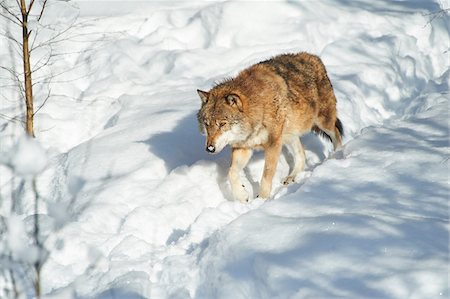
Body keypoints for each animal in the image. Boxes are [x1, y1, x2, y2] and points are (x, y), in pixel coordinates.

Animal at [198, 52, 344, 203]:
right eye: (207, 124)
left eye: (222, 124)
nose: (210, 149)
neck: (258, 109)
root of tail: (315, 57)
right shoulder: (244, 147)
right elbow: (231, 172)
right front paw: (242, 196)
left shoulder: (273, 144)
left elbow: (266, 175)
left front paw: (262, 199)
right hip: (289, 135)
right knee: (302, 154)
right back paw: (291, 177)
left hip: (323, 122)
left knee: (337, 135)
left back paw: (338, 155)